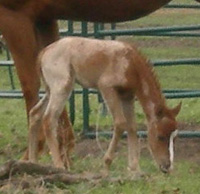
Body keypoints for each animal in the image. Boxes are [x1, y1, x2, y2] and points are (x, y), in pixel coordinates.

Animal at [28, 37, 181, 174]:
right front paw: (107, 164)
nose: (167, 167)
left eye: (174, 137)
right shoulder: (107, 88)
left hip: (51, 90)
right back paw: (59, 166)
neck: (131, 63)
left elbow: (132, 127)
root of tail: (45, 51)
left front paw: (135, 168)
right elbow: (120, 123)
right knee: (49, 119)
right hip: (62, 87)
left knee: (35, 113)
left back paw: (33, 162)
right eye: (160, 136)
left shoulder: (127, 96)